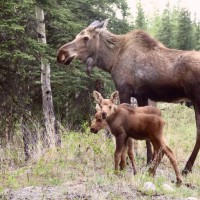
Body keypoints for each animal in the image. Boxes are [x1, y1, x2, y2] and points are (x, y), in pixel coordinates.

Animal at [57, 19, 200, 175]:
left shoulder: (124, 90)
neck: (111, 60)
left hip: (197, 99)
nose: (61, 53)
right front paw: (149, 161)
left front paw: (124, 165)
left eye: (85, 38)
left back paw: (187, 167)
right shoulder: (142, 95)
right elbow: (146, 136)